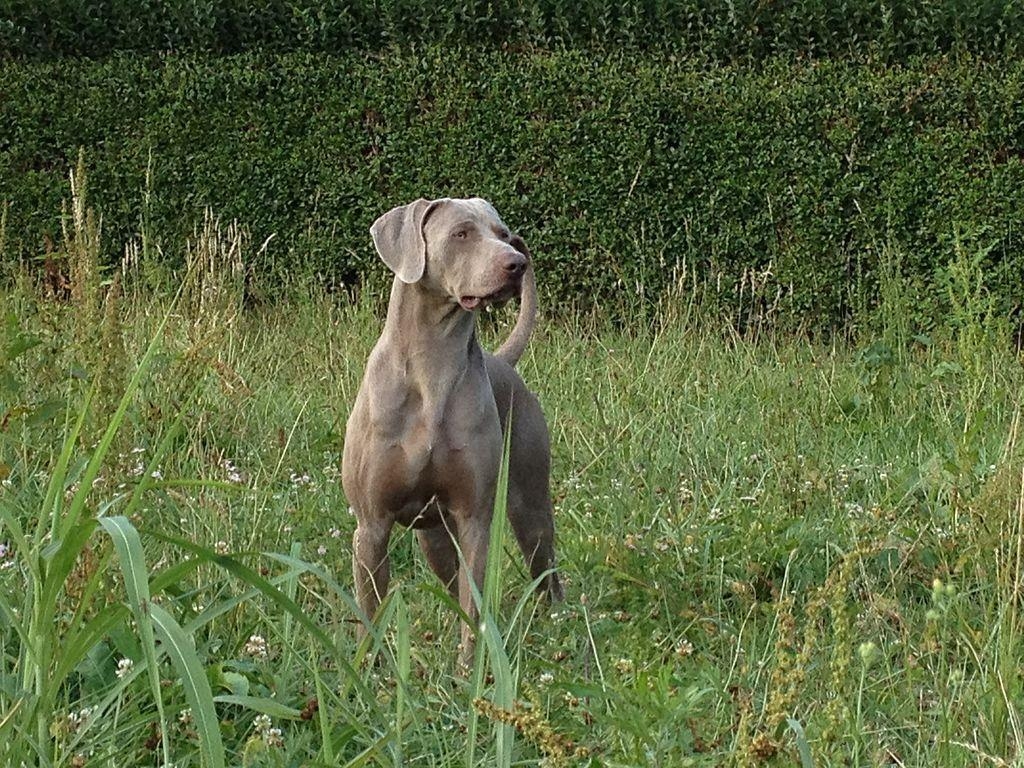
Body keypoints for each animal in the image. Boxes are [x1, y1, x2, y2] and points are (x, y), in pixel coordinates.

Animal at [346, 196, 569, 667]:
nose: (516, 263)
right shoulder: (371, 525)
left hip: (530, 505)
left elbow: (475, 606)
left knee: (546, 570)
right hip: (433, 537)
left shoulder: (474, 520)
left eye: (502, 234)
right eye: (461, 233)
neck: (433, 368)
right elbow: (369, 609)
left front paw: (473, 667)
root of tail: (504, 360)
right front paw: (366, 670)